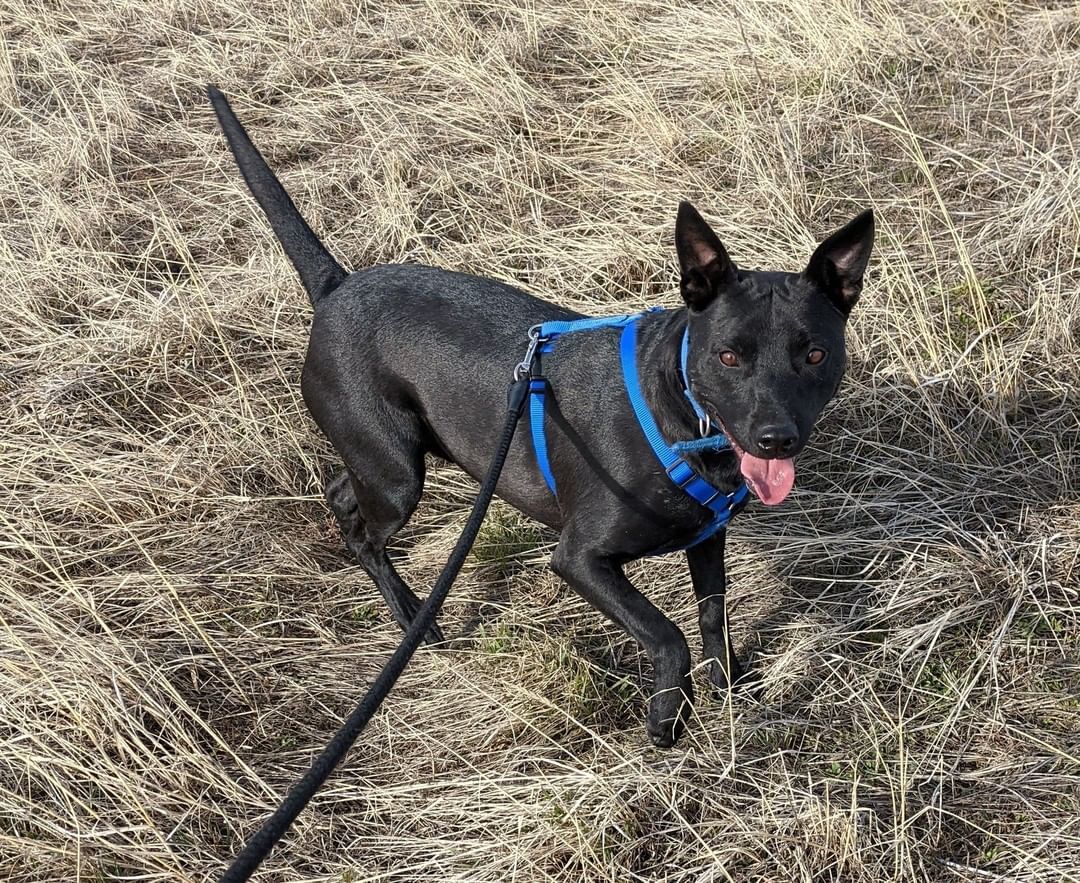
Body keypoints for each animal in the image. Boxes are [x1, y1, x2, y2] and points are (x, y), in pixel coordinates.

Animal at [208, 85, 868, 742]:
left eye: (815, 354)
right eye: (729, 355)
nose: (776, 439)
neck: (682, 418)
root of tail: (336, 287)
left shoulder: (707, 539)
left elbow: (712, 617)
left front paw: (728, 687)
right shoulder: (581, 560)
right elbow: (668, 633)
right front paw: (667, 715)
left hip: (393, 460)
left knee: (344, 490)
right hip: (396, 475)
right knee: (359, 521)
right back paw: (415, 617)